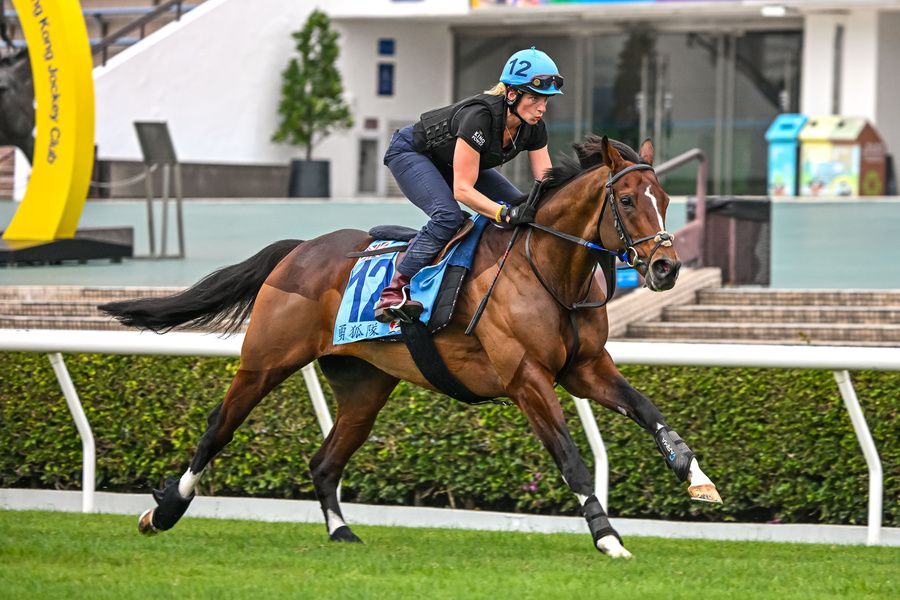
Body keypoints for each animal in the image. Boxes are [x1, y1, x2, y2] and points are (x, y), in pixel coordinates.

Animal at [102, 136, 724, 556]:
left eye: (664, 196)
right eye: (628, 199)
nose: (666, 268)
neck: (549, 270)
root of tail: (299, 249)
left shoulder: (586, 367)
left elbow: (649, 411)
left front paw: (696, 477)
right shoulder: (526, 377)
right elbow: (570, 458)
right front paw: (608, 538)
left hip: (365, 386)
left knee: (324, 462)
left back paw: (341, 530)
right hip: (266, 362)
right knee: (218, 428)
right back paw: (163, 512)